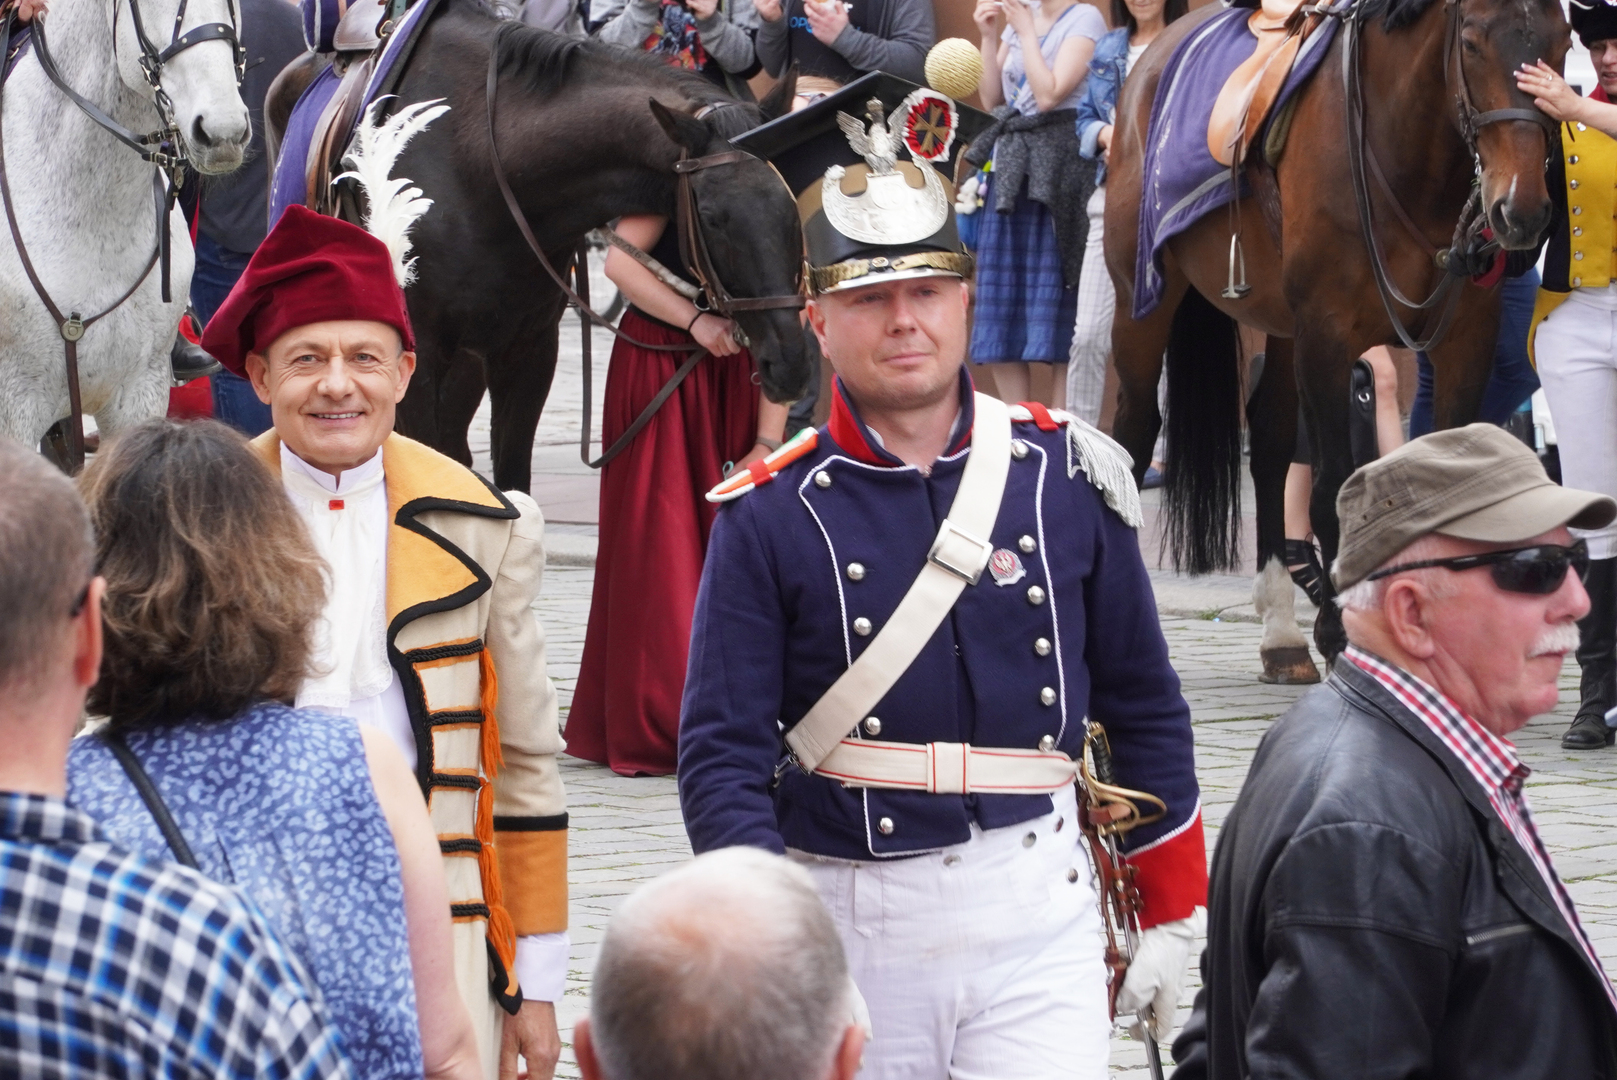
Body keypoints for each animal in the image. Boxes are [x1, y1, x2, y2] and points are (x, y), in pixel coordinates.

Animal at [268, 5, 811, 493]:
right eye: (714, 218)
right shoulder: (418, 355)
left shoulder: (528, 351)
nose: (791, 363)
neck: (481, 165)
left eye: (789, 205)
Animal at [1105, 0, 1567, 680]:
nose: (1523, 209)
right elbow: (1331, 489)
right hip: (1144, 303)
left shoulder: (1466, 339)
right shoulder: (1326, 334)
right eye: (1473, 44)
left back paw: (1280, 632)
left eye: (1562, 45)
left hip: (1279, 325)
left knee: (1270, 441)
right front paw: (1340, 631)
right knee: (1133, 433)